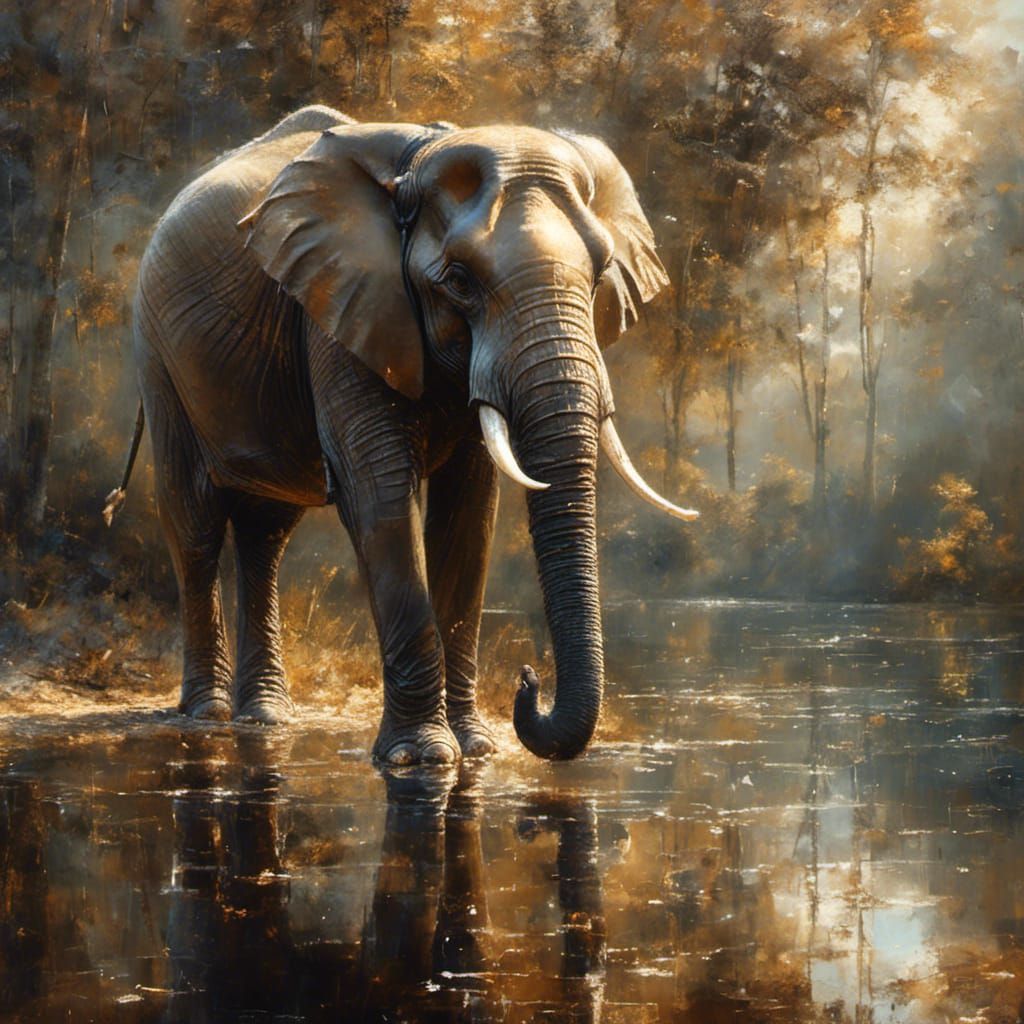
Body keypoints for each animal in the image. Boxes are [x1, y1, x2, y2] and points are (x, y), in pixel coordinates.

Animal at [113, 104, 698, 766]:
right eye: (460, 281)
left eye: (599, 275)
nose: (528, 678)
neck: (419, 162)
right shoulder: (342, 305)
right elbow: (380, 492)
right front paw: (420, 759)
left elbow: (469, 514)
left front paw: (475, 749)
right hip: (157, 349)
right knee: (194, 521)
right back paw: (208, 714)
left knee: (267, 531)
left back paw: (265, 716)